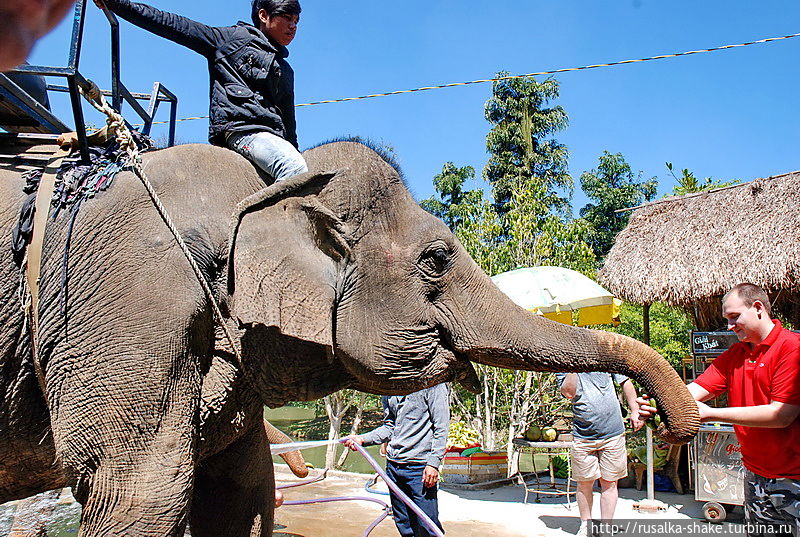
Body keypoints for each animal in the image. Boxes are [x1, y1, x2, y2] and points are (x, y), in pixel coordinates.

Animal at [0, 140, 700, 532]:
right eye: (437, 259)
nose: (671, 421)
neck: (266, 193)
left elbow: (240, 490)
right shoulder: (134, 306)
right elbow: (138, 493)